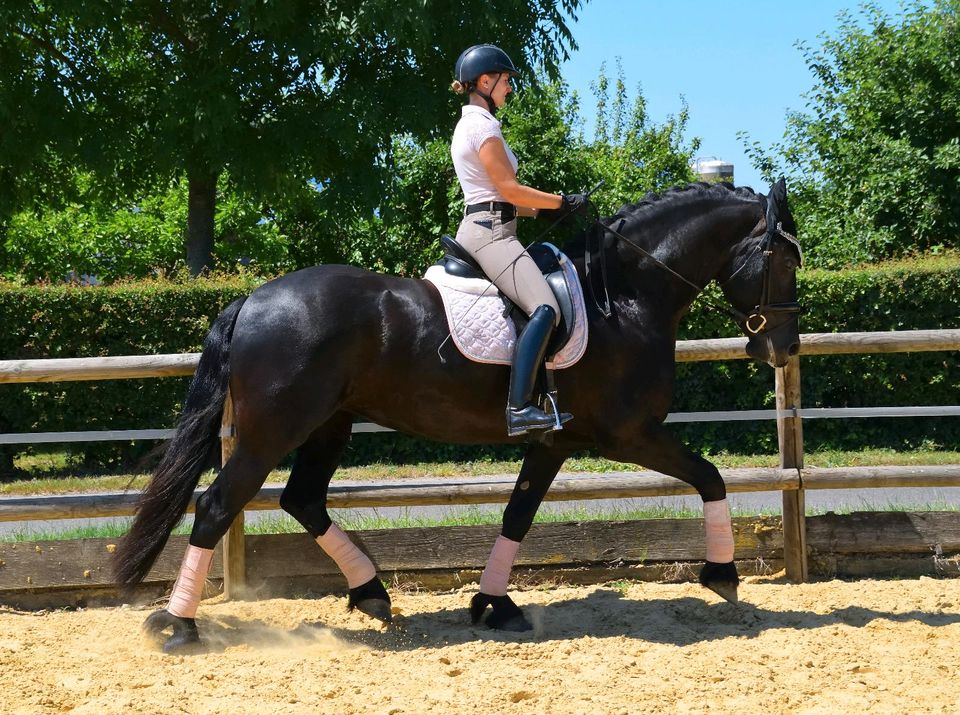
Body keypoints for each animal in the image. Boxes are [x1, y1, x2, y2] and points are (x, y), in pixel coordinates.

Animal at [112, 178, 804, 648]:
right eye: (786, 261)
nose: (783, 348)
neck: (628, 296)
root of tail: (253, 299)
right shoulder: (629, 434)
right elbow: (710, 475)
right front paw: (722, 573)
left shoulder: (555, 442)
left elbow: (518, 514)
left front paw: (495, 605)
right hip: (271, 431)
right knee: (217, 506)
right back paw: (178, 626)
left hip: (329, 424)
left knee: (302, 499)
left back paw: (372, 594)